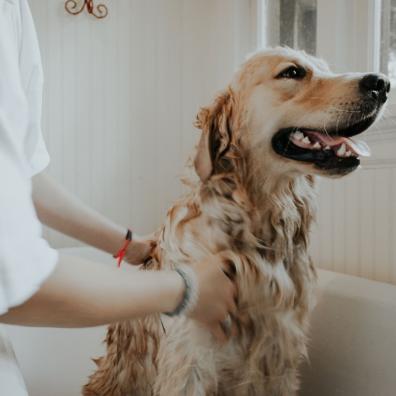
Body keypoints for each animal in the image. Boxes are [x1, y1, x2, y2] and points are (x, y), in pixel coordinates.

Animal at [83, 48, 390, 394]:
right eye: (293, 72)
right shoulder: (190, 361)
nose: (382, 83)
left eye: (326, 68)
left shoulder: (280, 356)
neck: (259, 231)